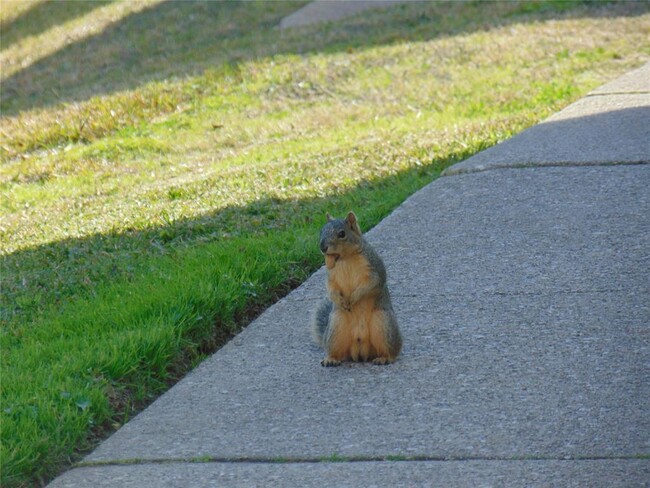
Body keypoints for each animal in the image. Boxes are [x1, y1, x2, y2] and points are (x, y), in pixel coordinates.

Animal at [308, 211, 400, 366]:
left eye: (342, 234)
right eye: (321, 231)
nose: (322, 247)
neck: (345, 258)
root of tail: (361, 352)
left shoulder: (374, 269)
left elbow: (371, 284)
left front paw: (353, 298)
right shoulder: (331, 276)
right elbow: (331, 288)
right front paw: (341, 300)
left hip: (383, 324)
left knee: (392, 350)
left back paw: (385, 358)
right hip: (336, 327)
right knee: (338, 352)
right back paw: (331, 359)